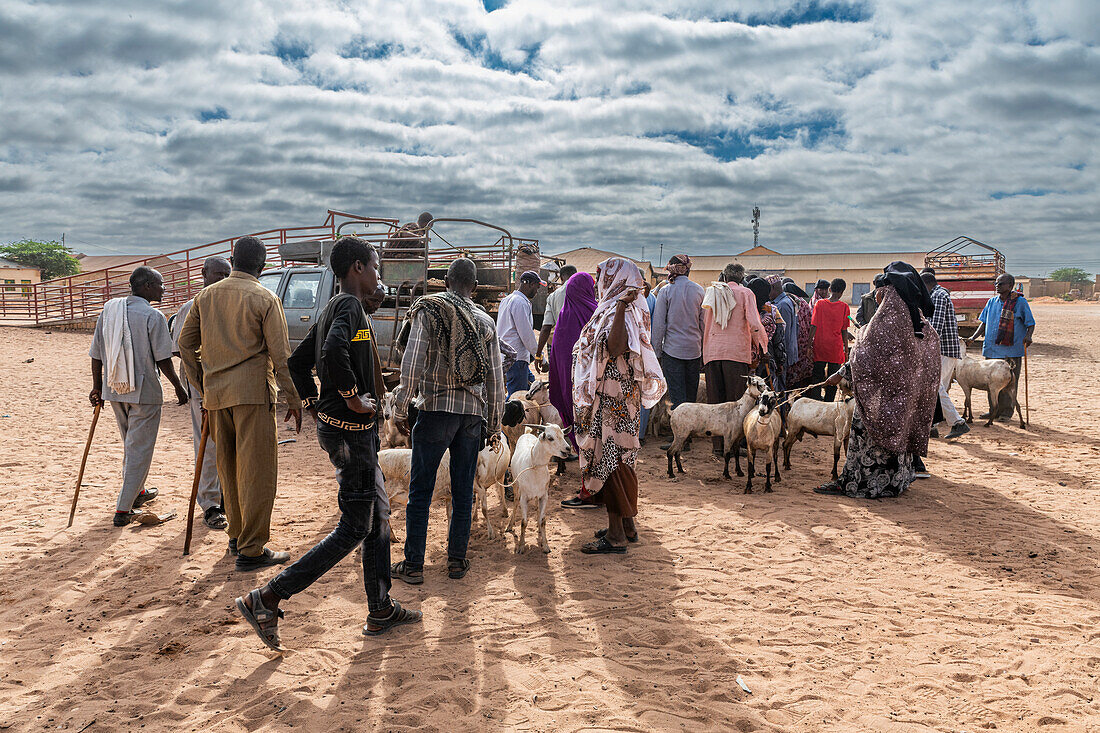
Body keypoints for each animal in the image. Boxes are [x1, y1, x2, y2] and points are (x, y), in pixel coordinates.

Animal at [503, 422, 572, 554]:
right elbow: (524, 522)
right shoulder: (524, 498)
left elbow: (543, 520)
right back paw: (509, 525)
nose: (568, 449)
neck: (534, 466)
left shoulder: (544, 496)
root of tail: (527, 433)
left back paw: (538, 528)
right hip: (516, 485)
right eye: (550, 438)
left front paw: (545, 545)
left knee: (537, 508)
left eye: (563, 434)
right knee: (515, 503)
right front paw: (521, 546)